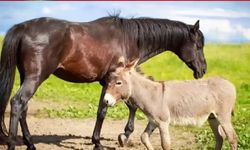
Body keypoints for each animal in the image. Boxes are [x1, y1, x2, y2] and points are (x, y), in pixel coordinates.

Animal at [0, 15, 206, 149]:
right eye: (198, 45)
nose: (203, 69)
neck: (129, 38)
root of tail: (23, 28)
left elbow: (124, 106)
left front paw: (121, 136)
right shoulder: (113, 80)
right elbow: (106, 111)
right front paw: (106, 140)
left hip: (27, 77)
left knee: (24, 107)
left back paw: (30, 143)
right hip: (35, 78)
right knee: (17, 103)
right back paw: (13, 143)